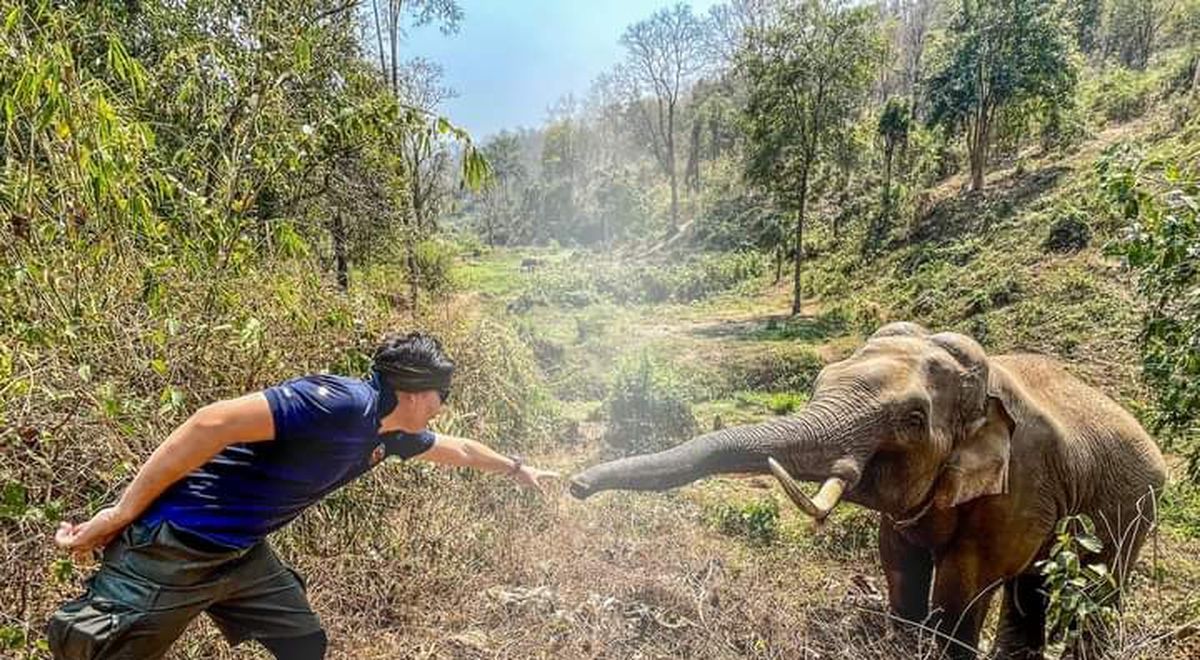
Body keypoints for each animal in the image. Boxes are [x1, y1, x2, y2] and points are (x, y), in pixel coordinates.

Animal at [570, 322, 1166, 659]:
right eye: (819, 382)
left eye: (913, 418)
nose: (575, 485)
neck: (986, 387)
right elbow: (898, 562)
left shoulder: (1020, 484)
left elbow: (966, 582)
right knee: (1033, 590)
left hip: (1134, 508)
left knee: (1098, 590)